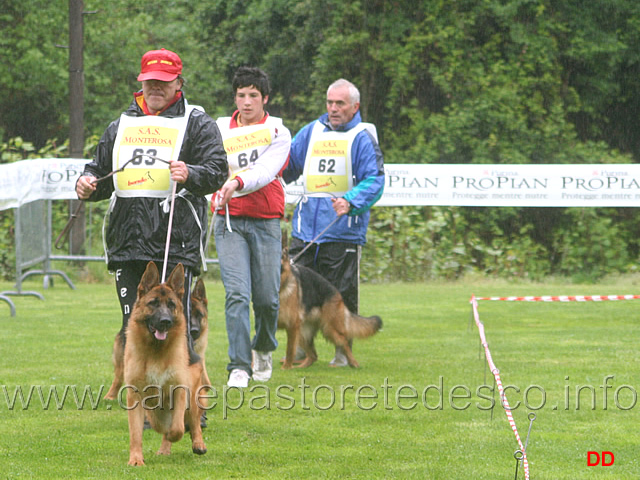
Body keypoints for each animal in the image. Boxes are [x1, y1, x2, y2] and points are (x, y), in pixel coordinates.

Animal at [123, 260, 208, 466]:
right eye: (153, 303)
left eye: (171, 305)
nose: (165, 321)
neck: (156, 351)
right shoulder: (135, 397)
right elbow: (136, 433)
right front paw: (136, 459)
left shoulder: (179, 391)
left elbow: (177, 428)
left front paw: (175, 435)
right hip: (154, 410)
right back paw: (164, 449)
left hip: (191, 396)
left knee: (193, 421)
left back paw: (198, 443)